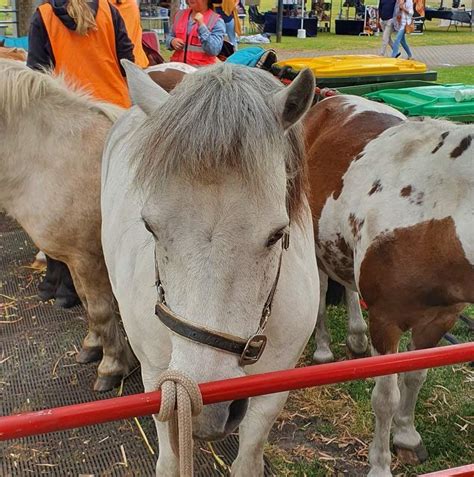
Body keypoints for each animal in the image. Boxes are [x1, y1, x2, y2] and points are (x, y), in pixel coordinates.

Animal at [306, 93, 472, 476]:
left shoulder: (439, 320)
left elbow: (416, 377)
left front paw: (407, 435)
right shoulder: (386, 321)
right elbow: (385, 397)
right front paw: (380, 464)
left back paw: (356, 338)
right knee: (320, 289)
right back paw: (323, 348)